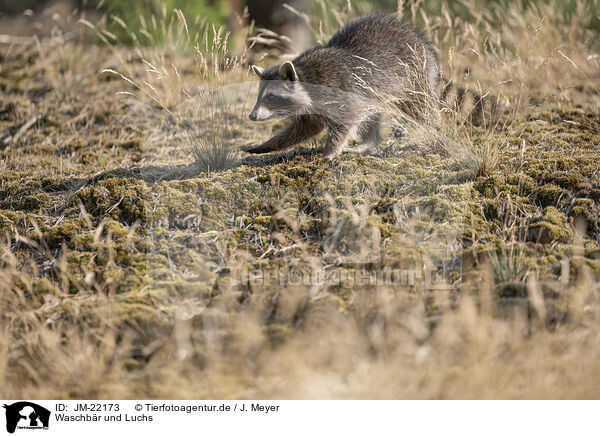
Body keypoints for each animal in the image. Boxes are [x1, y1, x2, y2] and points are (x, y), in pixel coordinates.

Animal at [243, 14, 502, 160]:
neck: (307, 76)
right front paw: (269, 144)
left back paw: (433, 130)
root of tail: (425, 46)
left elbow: (344, 124)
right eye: (259, 96)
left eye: (271, 97)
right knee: (373, 116)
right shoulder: (314, 109)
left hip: (411, 79)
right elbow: (302, 130)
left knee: (422, 109)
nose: (252, 116)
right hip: (376, 91)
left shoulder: (342, 92)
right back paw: (369, 142)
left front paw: (329, 152)